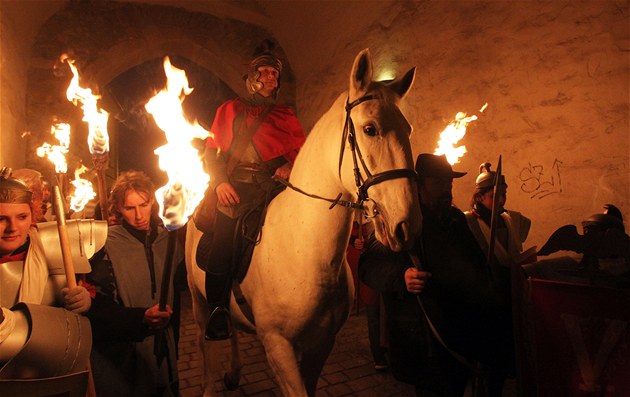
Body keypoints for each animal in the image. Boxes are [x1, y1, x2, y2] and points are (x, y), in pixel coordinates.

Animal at [188, 48, 424, 394]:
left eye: (408, 130)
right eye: (370, 129)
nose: (407, 225)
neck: (304, 252)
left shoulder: (321, 344)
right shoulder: (278, 346)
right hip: (199, 303)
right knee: (207, 346)